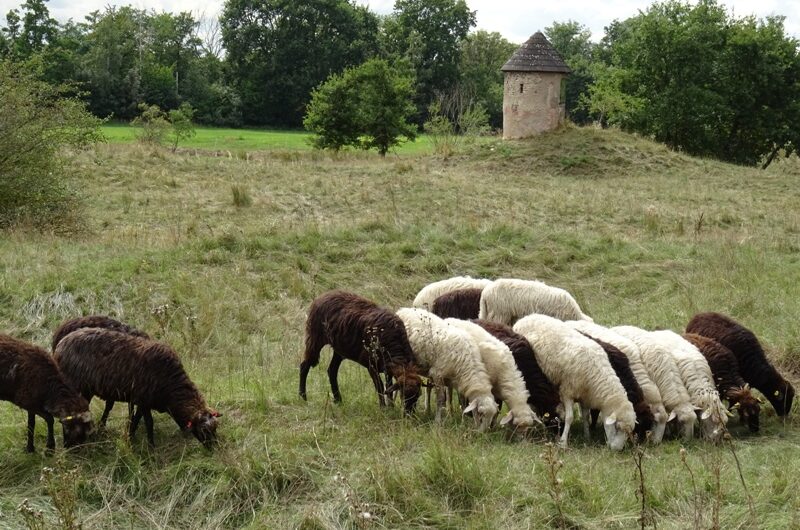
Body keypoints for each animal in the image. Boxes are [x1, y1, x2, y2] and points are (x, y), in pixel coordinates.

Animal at [53, 330, 219, 446]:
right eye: (204, 430)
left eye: (215, 429)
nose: (214, 448)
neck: (171, 386)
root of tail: (60, 345)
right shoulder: (143, 400)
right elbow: (149, 423)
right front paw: (151, 446)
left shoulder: (141, 401)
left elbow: (135, 420)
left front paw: (131, 437)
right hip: (78, 387)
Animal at [510, 314, 636, 450]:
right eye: (617, 427)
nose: (617, 449)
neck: (597, 373)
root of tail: (527, 317)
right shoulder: (567, 391)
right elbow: (569, 417)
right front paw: (563, 442)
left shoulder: (585, 396)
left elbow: (586, 416)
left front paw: (587, 436)